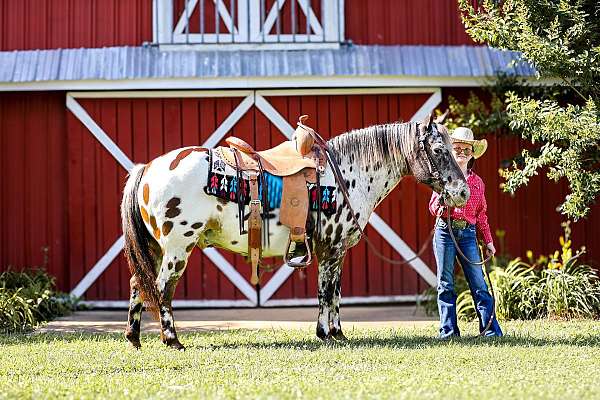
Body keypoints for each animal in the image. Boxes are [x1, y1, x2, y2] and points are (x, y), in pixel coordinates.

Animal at [120, 114, 468, 348]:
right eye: (439, 150)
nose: (462, 192)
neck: (347, 174)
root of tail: (148, 168)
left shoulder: (337, 251)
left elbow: (336, 292)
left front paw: (338, 333)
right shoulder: (330, 249)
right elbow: (325, 292)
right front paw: (324, 334)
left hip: (155, 248)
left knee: (139, 284)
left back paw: (134, 338)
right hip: (178, 247)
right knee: (162, 288)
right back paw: (172, 340)